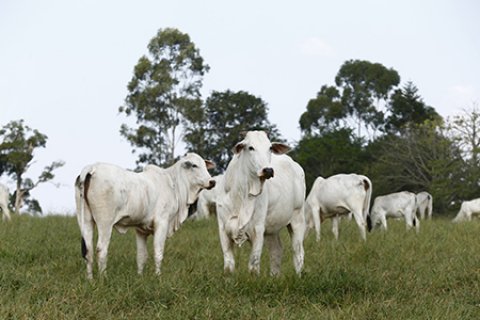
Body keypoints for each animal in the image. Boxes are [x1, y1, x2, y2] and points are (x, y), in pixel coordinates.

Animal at [74, 152, 214, 278]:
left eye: (205, 166)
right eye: (194, 165)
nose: (212, 181)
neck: (173, 183)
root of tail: (92, 167)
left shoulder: (140, 230)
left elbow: (141, 256)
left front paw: (140, 277)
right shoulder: (162, 223)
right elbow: (158, 253)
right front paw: (158, 277)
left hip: (85, 221)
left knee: (88, 251)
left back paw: (90, 279)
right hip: (105, 223)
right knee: (101, 249)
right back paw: (104, 278)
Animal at [217, 131, 306, 276]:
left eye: (270, 148)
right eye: (250, 147)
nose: (268, 170)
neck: (242, 194)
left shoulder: (258, 229)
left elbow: (253, 266)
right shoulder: (223, 229)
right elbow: (229, 266)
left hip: (298, 218)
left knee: (298, 252)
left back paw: (298, 275)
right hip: (271, 229)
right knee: (276, 250)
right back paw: (274, 276)